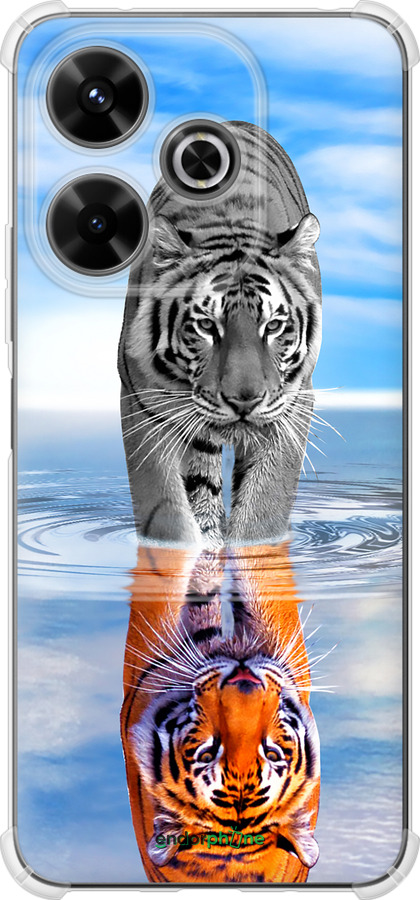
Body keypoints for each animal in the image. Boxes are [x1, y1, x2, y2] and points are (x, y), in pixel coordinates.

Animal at [118, 121, 322, 548]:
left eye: (273, 326)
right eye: (207, 325)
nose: (244, 400)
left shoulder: (293, 405)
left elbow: (264, 508)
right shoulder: (142, 402)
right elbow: (166, 511)